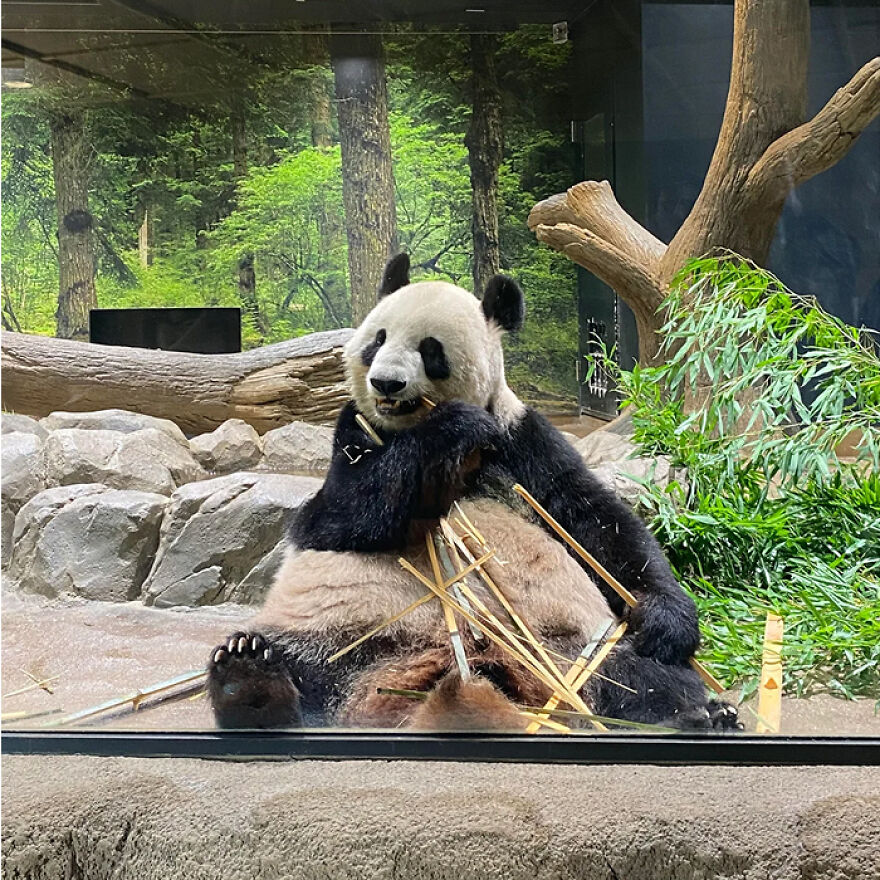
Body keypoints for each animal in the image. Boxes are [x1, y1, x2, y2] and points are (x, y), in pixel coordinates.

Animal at [207, 254, 739, 732]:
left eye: (430, 350)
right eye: (377, 339)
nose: (386, 383)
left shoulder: (522, 442)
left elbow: (594, 522)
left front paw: (667, 619)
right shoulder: (352, 438)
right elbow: (343, 516)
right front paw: (451, 427)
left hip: (576, 647)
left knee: (641, 675)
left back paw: (701, 713)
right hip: (340, 633)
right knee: (295, 657)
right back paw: (250, 679)